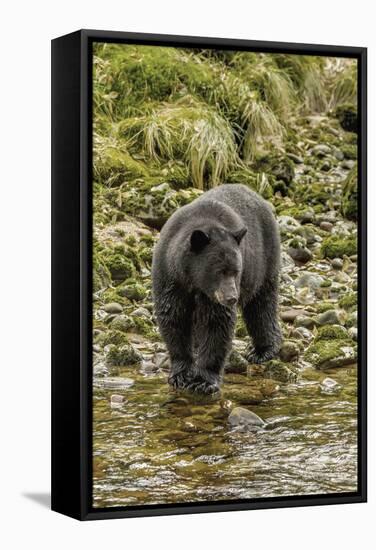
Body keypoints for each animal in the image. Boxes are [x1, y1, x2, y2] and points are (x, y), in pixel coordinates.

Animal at [151, 185, 280, 396]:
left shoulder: (213, 296)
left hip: (264, 259)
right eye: (220, 271)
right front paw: (180, 374)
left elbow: (216, 323)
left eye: (236, 271)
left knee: (262, 304)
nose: (232, 298)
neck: (193, 280)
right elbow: (173, 317)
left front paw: (203, 381)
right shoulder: (170, 278)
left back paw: (263, 350)